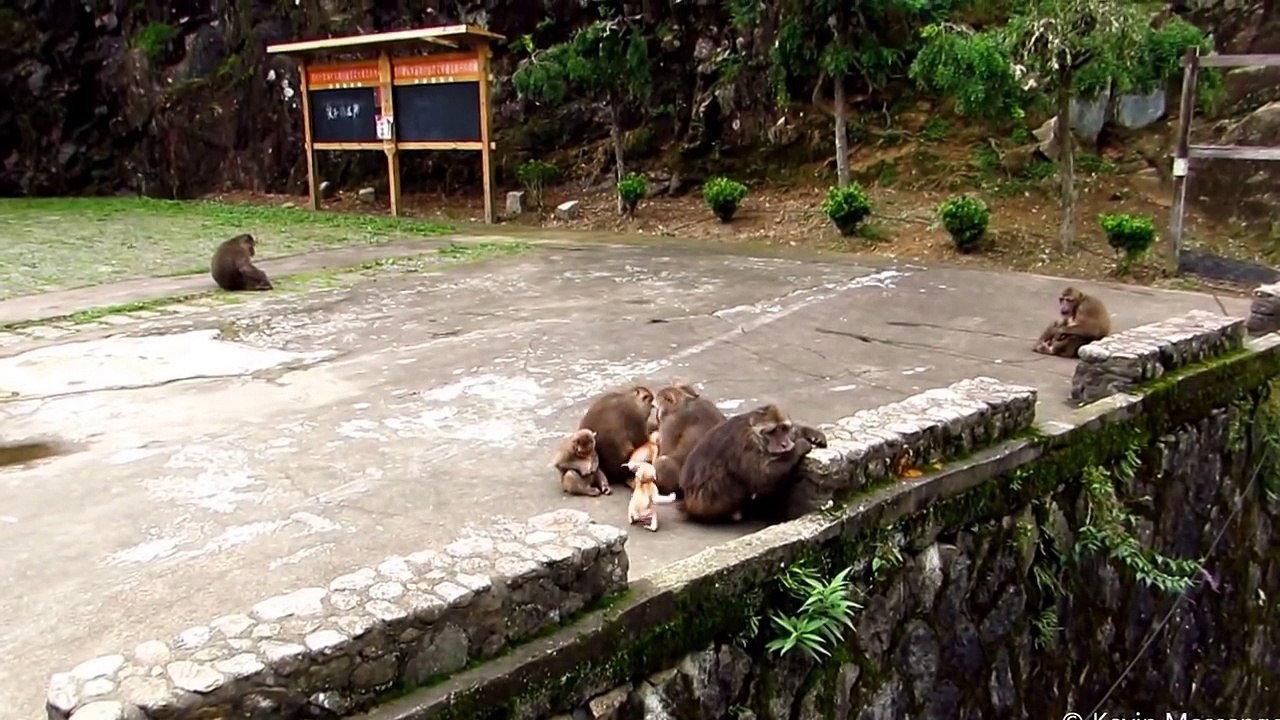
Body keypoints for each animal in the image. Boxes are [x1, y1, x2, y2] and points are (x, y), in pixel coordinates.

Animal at [678, 404, 828, 525]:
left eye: (784, 429)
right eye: (772, 432)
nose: (784, 444)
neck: (755, 434)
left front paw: (808, 433)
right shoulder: (746, 445)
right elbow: (763, 477)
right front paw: (799, 446)